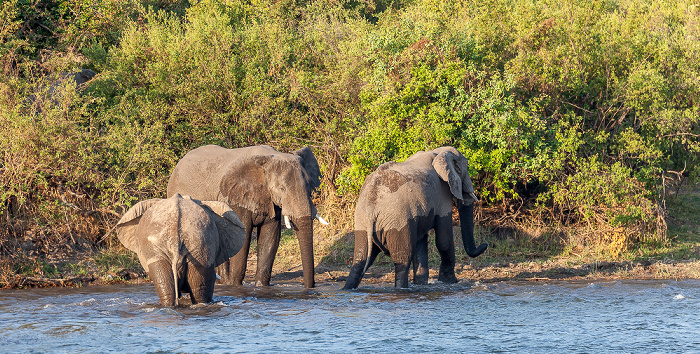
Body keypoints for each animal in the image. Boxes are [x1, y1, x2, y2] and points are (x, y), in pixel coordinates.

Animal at [168, 145, 324, 290]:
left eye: (309, 186)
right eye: (282, 189)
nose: (309, 287)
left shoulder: (270, 201)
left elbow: (270, 237)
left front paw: (261, 287)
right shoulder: (235, 200)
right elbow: (243, 238)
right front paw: (235, 286)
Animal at [344, 145, 486, 290]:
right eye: (465, 168)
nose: (484, 245)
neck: (438, 152)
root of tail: (370, 209)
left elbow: (421, 242)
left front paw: (422, 284)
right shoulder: (442, 193)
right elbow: (444, 240)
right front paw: (450, 282)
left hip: (362, 223)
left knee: (360, 259)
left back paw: (348, 289)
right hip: (398, 220)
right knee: (403, 259)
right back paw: (401, 289)